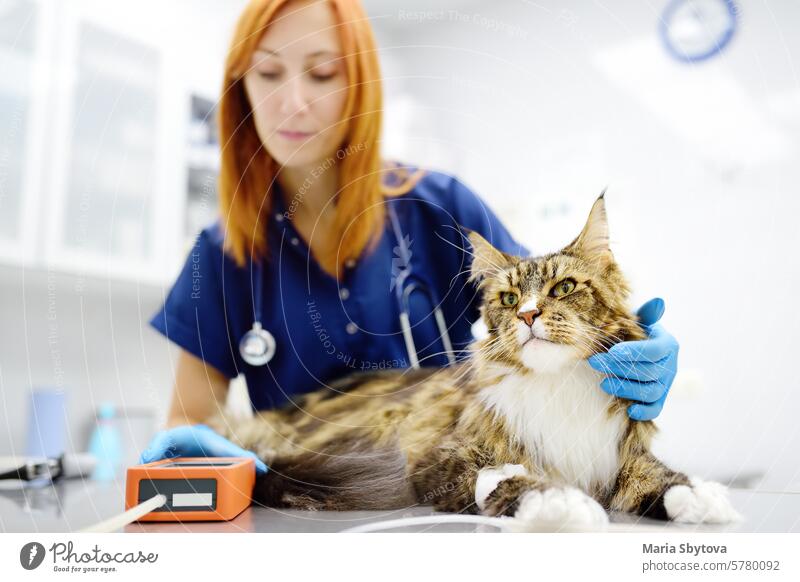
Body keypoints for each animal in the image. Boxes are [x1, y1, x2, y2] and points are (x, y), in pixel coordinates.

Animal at [206, 196, 736, 528]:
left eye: (564, 287)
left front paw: (699, 495)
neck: (557, 386)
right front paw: (560, 502)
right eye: (509, 299)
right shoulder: (440, 454)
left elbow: (657, 476)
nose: (528, 314)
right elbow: (508, 476)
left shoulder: (617, 454)